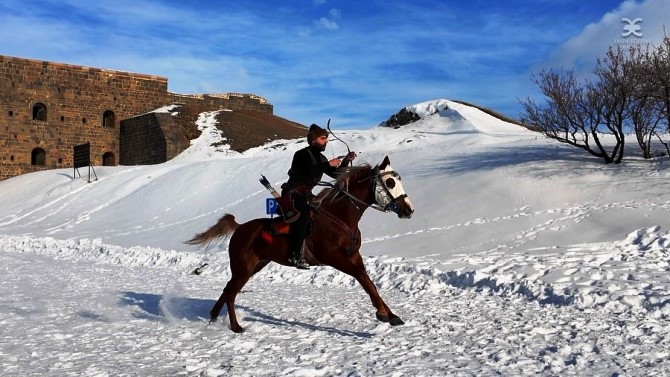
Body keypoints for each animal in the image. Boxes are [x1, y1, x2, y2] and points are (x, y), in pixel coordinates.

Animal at [184, 155, 414, 332]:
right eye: (390, 182)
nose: (408, 209)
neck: (340, 216)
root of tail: (240, 228)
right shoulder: (334, 258)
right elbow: (362, 279)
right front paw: (383, 313)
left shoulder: (353, 256)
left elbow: (369, 282)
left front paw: (391, 314)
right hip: (243, 268)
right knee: (231, 294)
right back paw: (235, 326)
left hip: (255, 266)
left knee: (227, 290)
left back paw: (214, 315)